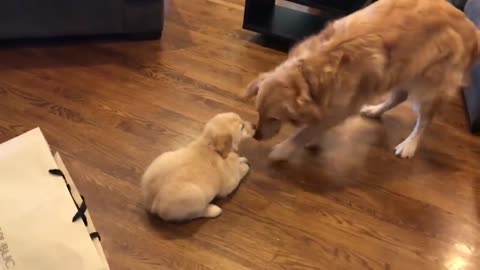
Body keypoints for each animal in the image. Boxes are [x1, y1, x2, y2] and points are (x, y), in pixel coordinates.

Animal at [246, 0, 478, 160]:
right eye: (258, 112)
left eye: (274, 118)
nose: (256, 136)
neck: (311, 73)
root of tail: (473, 28)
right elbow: (319, 123)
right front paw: (314, 138)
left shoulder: (344, 106)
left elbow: (307, 129)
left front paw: (285, 149)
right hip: (403, 70)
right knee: (399, 96)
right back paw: (374, 110)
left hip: (430, 86)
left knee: (424, 120)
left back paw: (409, 144)